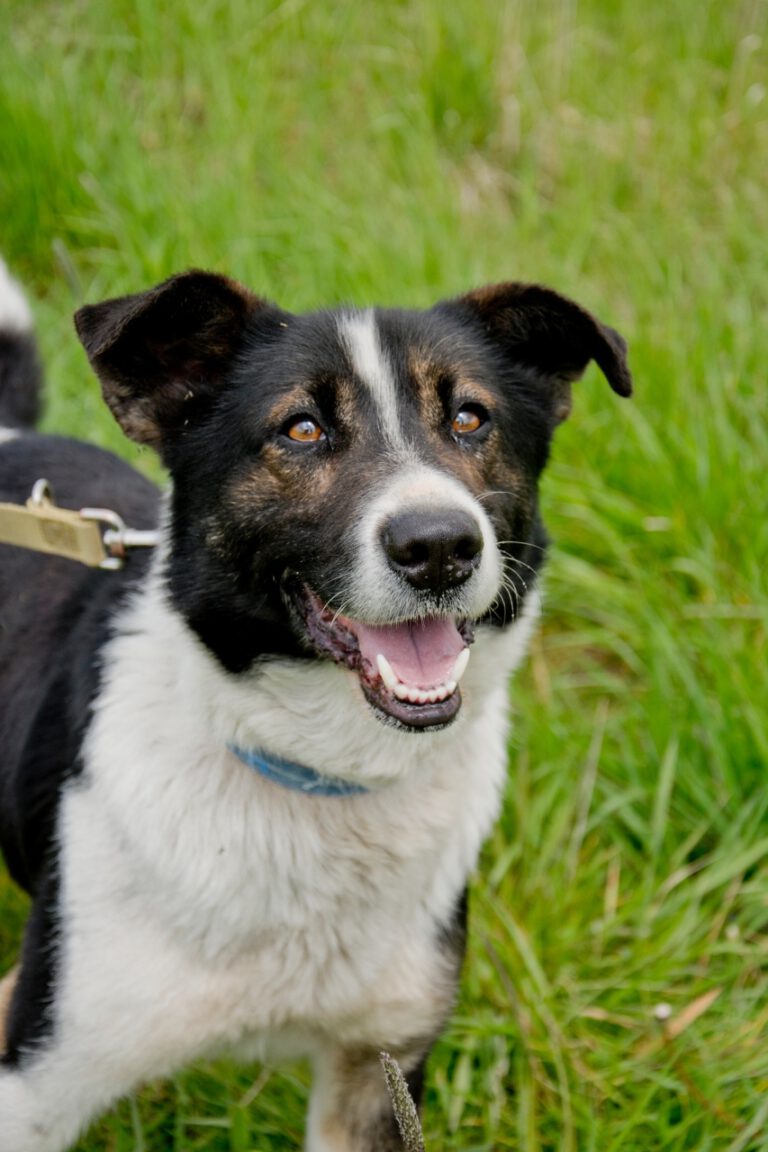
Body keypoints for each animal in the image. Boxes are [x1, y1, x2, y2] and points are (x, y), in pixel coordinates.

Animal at [0, 261, 630, 1152]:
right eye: (300, 429)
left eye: (471, 417)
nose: (440, 546)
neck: (319, 778)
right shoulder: (36, 1077)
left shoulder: (379, 1070)